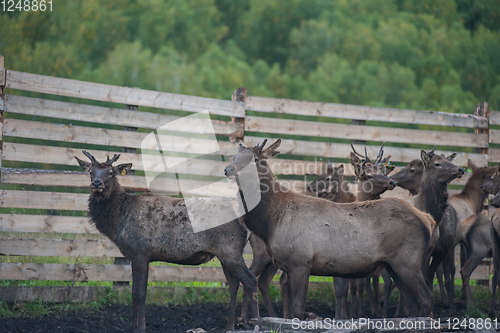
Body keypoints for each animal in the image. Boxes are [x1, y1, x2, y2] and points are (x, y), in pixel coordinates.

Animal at [77, 151, 262, 332]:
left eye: (110, 172)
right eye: (90, 171)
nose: (96, 183)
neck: (119, 219)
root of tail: (242, 220)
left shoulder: (140, 252)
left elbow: (140, 293)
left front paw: (140, 328)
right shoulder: (134, 256)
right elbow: (133, 293)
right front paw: (133, 326)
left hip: (230, 250)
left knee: (251, 280)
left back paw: (254, 323)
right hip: (225, 253)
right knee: (234, 285)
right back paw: (230, 327)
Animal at [225, 138, 436, 320]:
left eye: (255, 159)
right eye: (234, 156)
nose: (228, 169)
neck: (271, 222)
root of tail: (428, 219)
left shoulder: (301, 263)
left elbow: (298, 309)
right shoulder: (288, 265)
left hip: (408, 261)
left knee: (426, 298)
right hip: (394, 265)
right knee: (412, 301)